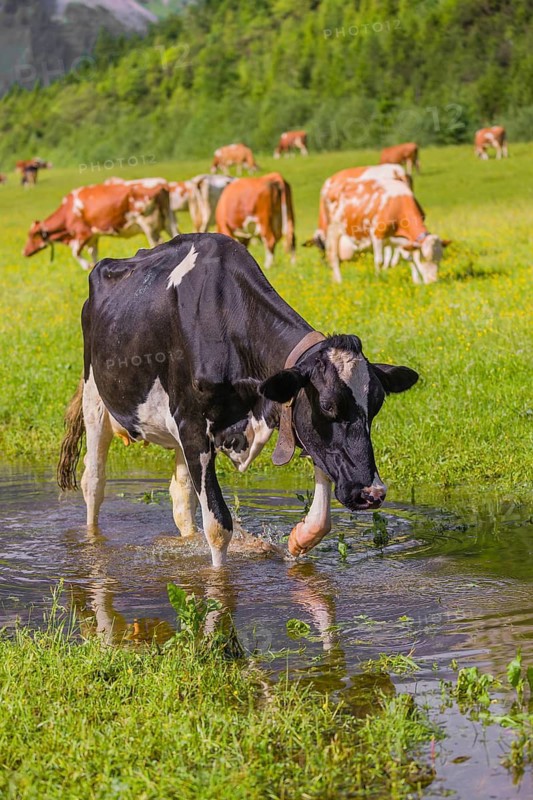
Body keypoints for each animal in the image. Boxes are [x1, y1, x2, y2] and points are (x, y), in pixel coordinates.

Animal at [23, 182, 176, 269]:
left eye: (33, 235)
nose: (23, 252)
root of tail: (159, 186)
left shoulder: (84, 233)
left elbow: (75, 252)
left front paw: (86, 265)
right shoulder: (93, 237)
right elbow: (93, 253)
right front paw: (92, 266)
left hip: (148, 225)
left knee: (157, 243)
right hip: (169, 221)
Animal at [57, 233, 419, 566]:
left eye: (376, 407)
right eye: (329, 406)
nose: (372, 493)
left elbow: (321, 514)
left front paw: (299, 539)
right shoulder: (193, 427)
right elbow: (218, 526)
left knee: (180, 496)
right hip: (95, 397)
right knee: (93, 481)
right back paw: (93, 542)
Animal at [312, 166, 449, 284]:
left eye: (440, 259)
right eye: (424, 258)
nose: (433, 281)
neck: (398, 205)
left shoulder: (403, 240)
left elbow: (409, 257)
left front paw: (417, 281)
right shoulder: (377, 235)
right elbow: (379, 260)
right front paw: (378, 279)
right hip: (334, 231)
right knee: (333, 257)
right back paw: (339, 282)